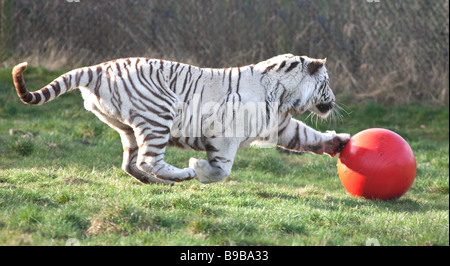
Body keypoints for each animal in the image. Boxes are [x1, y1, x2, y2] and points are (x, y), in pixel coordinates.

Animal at [12, 54, 352, 185]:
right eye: (327, 82)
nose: (334, 101)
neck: (283, 95)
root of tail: (99, 67)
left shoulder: (280, 125)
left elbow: (306, 136)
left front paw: (338, 142)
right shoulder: (225, 136)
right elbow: (221, 170)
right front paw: (198, 169)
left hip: (128, 128)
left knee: (130, 164)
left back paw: (157, 181)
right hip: (158, 114)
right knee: (149, 159)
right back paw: (181, 175)